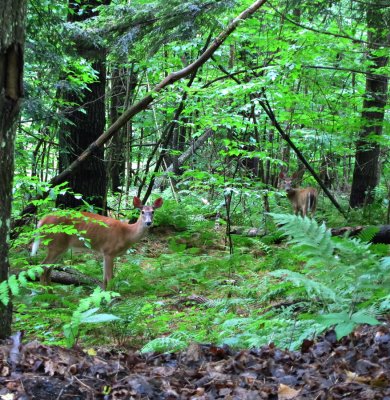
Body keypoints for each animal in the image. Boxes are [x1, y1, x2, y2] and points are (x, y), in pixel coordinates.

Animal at [30, 196, 163, 288]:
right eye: (142, 212)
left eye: (153, 211)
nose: (148, 223)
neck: (126, 234)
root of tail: (41, 221)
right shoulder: (109, 251)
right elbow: (110, 278)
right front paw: (112, 300)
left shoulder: (105, 253)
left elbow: (104, 278)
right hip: (55, 244)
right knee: (43, 267)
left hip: (62, 247)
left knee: (48, 270)